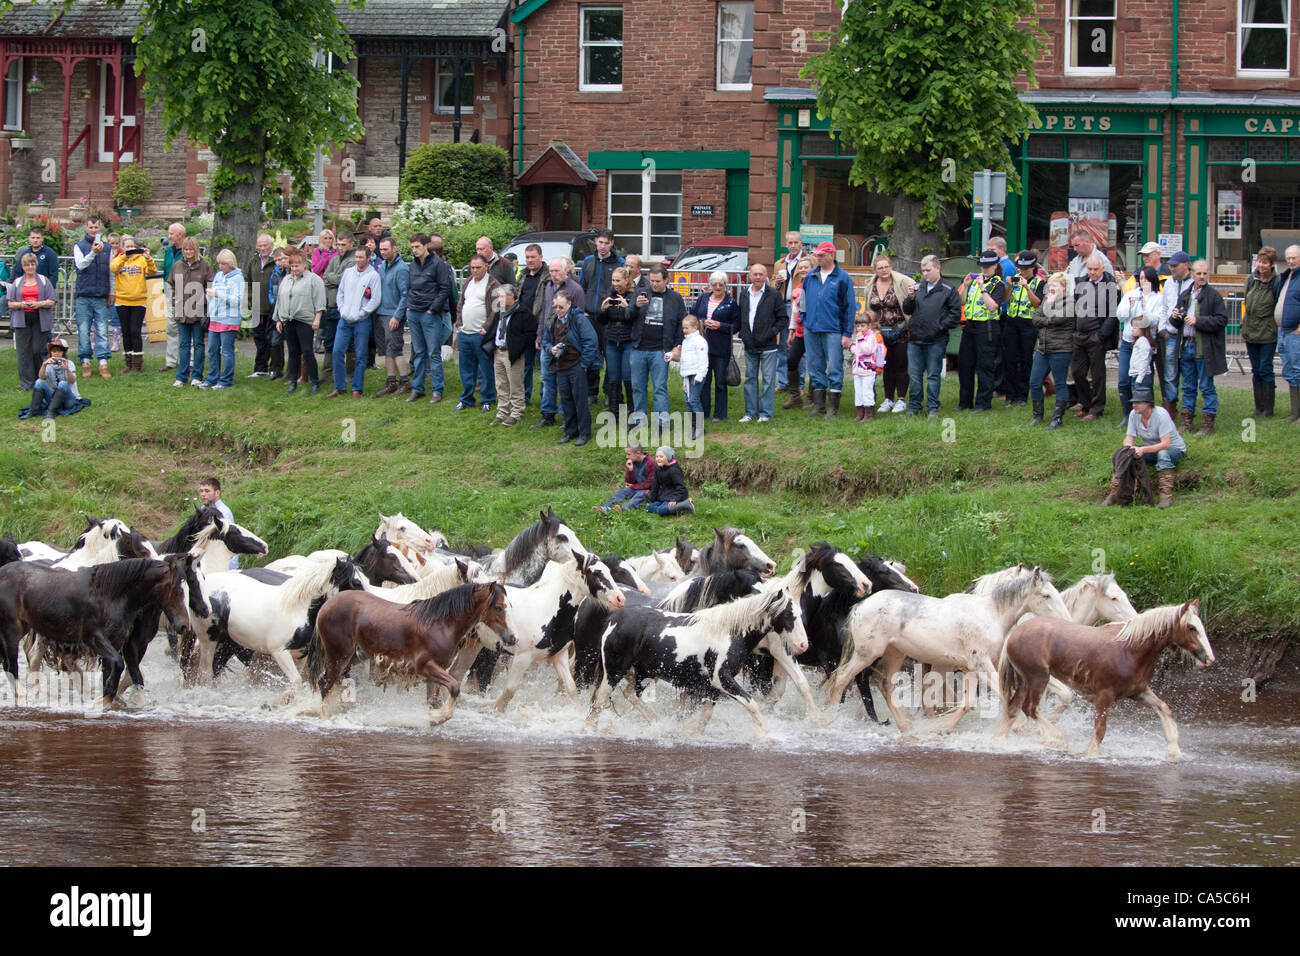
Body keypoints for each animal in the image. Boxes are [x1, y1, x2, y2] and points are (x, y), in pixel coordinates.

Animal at [308, 582, 512, 723]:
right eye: (498, 607)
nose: (511, 638)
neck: (441, 624)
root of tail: (326, 606)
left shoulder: (435, 671)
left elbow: (433, 700)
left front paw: (434, 717)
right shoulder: (425, 666)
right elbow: (454, 687)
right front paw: (439, 717)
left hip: (354, 657)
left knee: (334, 683)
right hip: (338, 655)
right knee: (325, 683)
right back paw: (326, 717)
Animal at [826, 564, 1071, 738]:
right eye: (1046, 595)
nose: (1066, 622)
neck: (991, 614)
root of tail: (859, 607)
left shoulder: (973, 668)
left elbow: (968, 702)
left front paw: (941, 728)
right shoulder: (983, 664)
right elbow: (1002, 694)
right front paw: (1026, 727)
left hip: (894, 653)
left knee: (885, 684)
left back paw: (906, 727)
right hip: (867, 654)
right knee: (841, 679)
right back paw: (829, 721)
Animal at [993, 598, 1216, 764]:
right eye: (1191, 627)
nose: (1209, 658)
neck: (1130, 650)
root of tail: (1015, 633)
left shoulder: (1138, 692)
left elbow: (1164, 709)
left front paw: (1173, 751)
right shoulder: (1104, 695)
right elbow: (1100, 730)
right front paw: (1091, 754)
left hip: (1025, 680)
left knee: (1013, 709)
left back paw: (999, 743)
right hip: (1038, 678)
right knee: (1030, 708)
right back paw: (1056, 740)